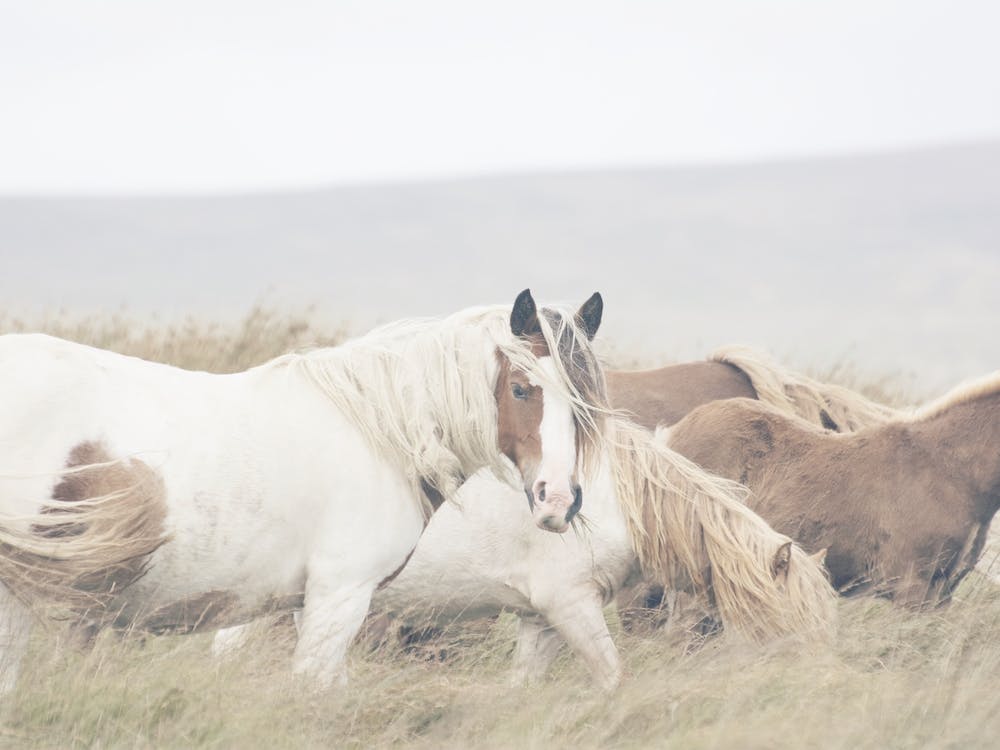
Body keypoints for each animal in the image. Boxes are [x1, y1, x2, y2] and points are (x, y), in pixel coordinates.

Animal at [0, 289, 608, 694]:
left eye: (586, 401)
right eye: (521, 389)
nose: (558, 500)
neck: (378, 429)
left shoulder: (310, 603)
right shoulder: (340, 596)